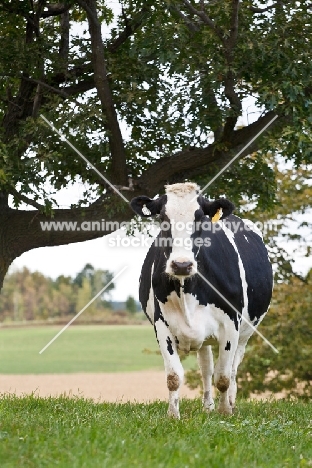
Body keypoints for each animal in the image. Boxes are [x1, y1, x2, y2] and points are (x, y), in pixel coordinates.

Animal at [130, 182, 272, 416]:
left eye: (199, 218)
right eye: (163, 218)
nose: (181, 264)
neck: (187, 289)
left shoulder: (231, 325)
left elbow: (223, 377)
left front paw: (225, 412)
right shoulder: (162, 326)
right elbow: (174, 376)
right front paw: (173, 415)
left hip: (246, 332)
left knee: (233, 369)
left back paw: (230, 403)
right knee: (206, 367)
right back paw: (207, 406)